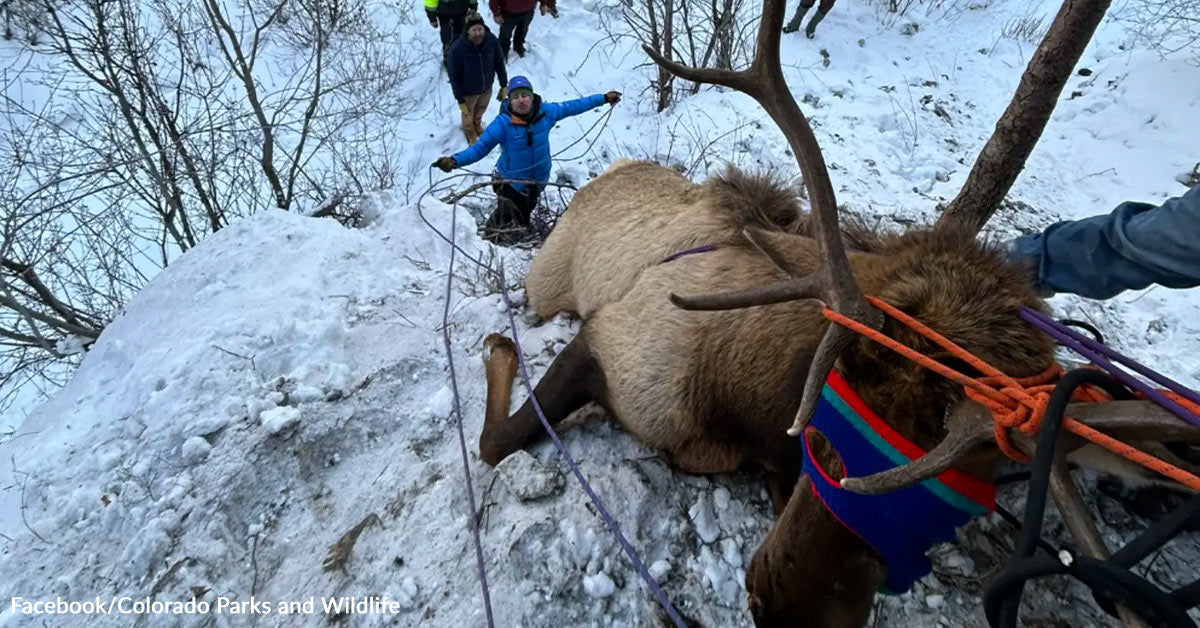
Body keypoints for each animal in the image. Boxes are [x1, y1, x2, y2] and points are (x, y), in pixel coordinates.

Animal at [477, 0, 1200, 626]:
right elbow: (496, 441)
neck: (742, 399)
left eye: (972, 486)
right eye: (824, 421)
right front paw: (500, 349)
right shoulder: (610, 345)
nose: (786, 610)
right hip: (546, 282)